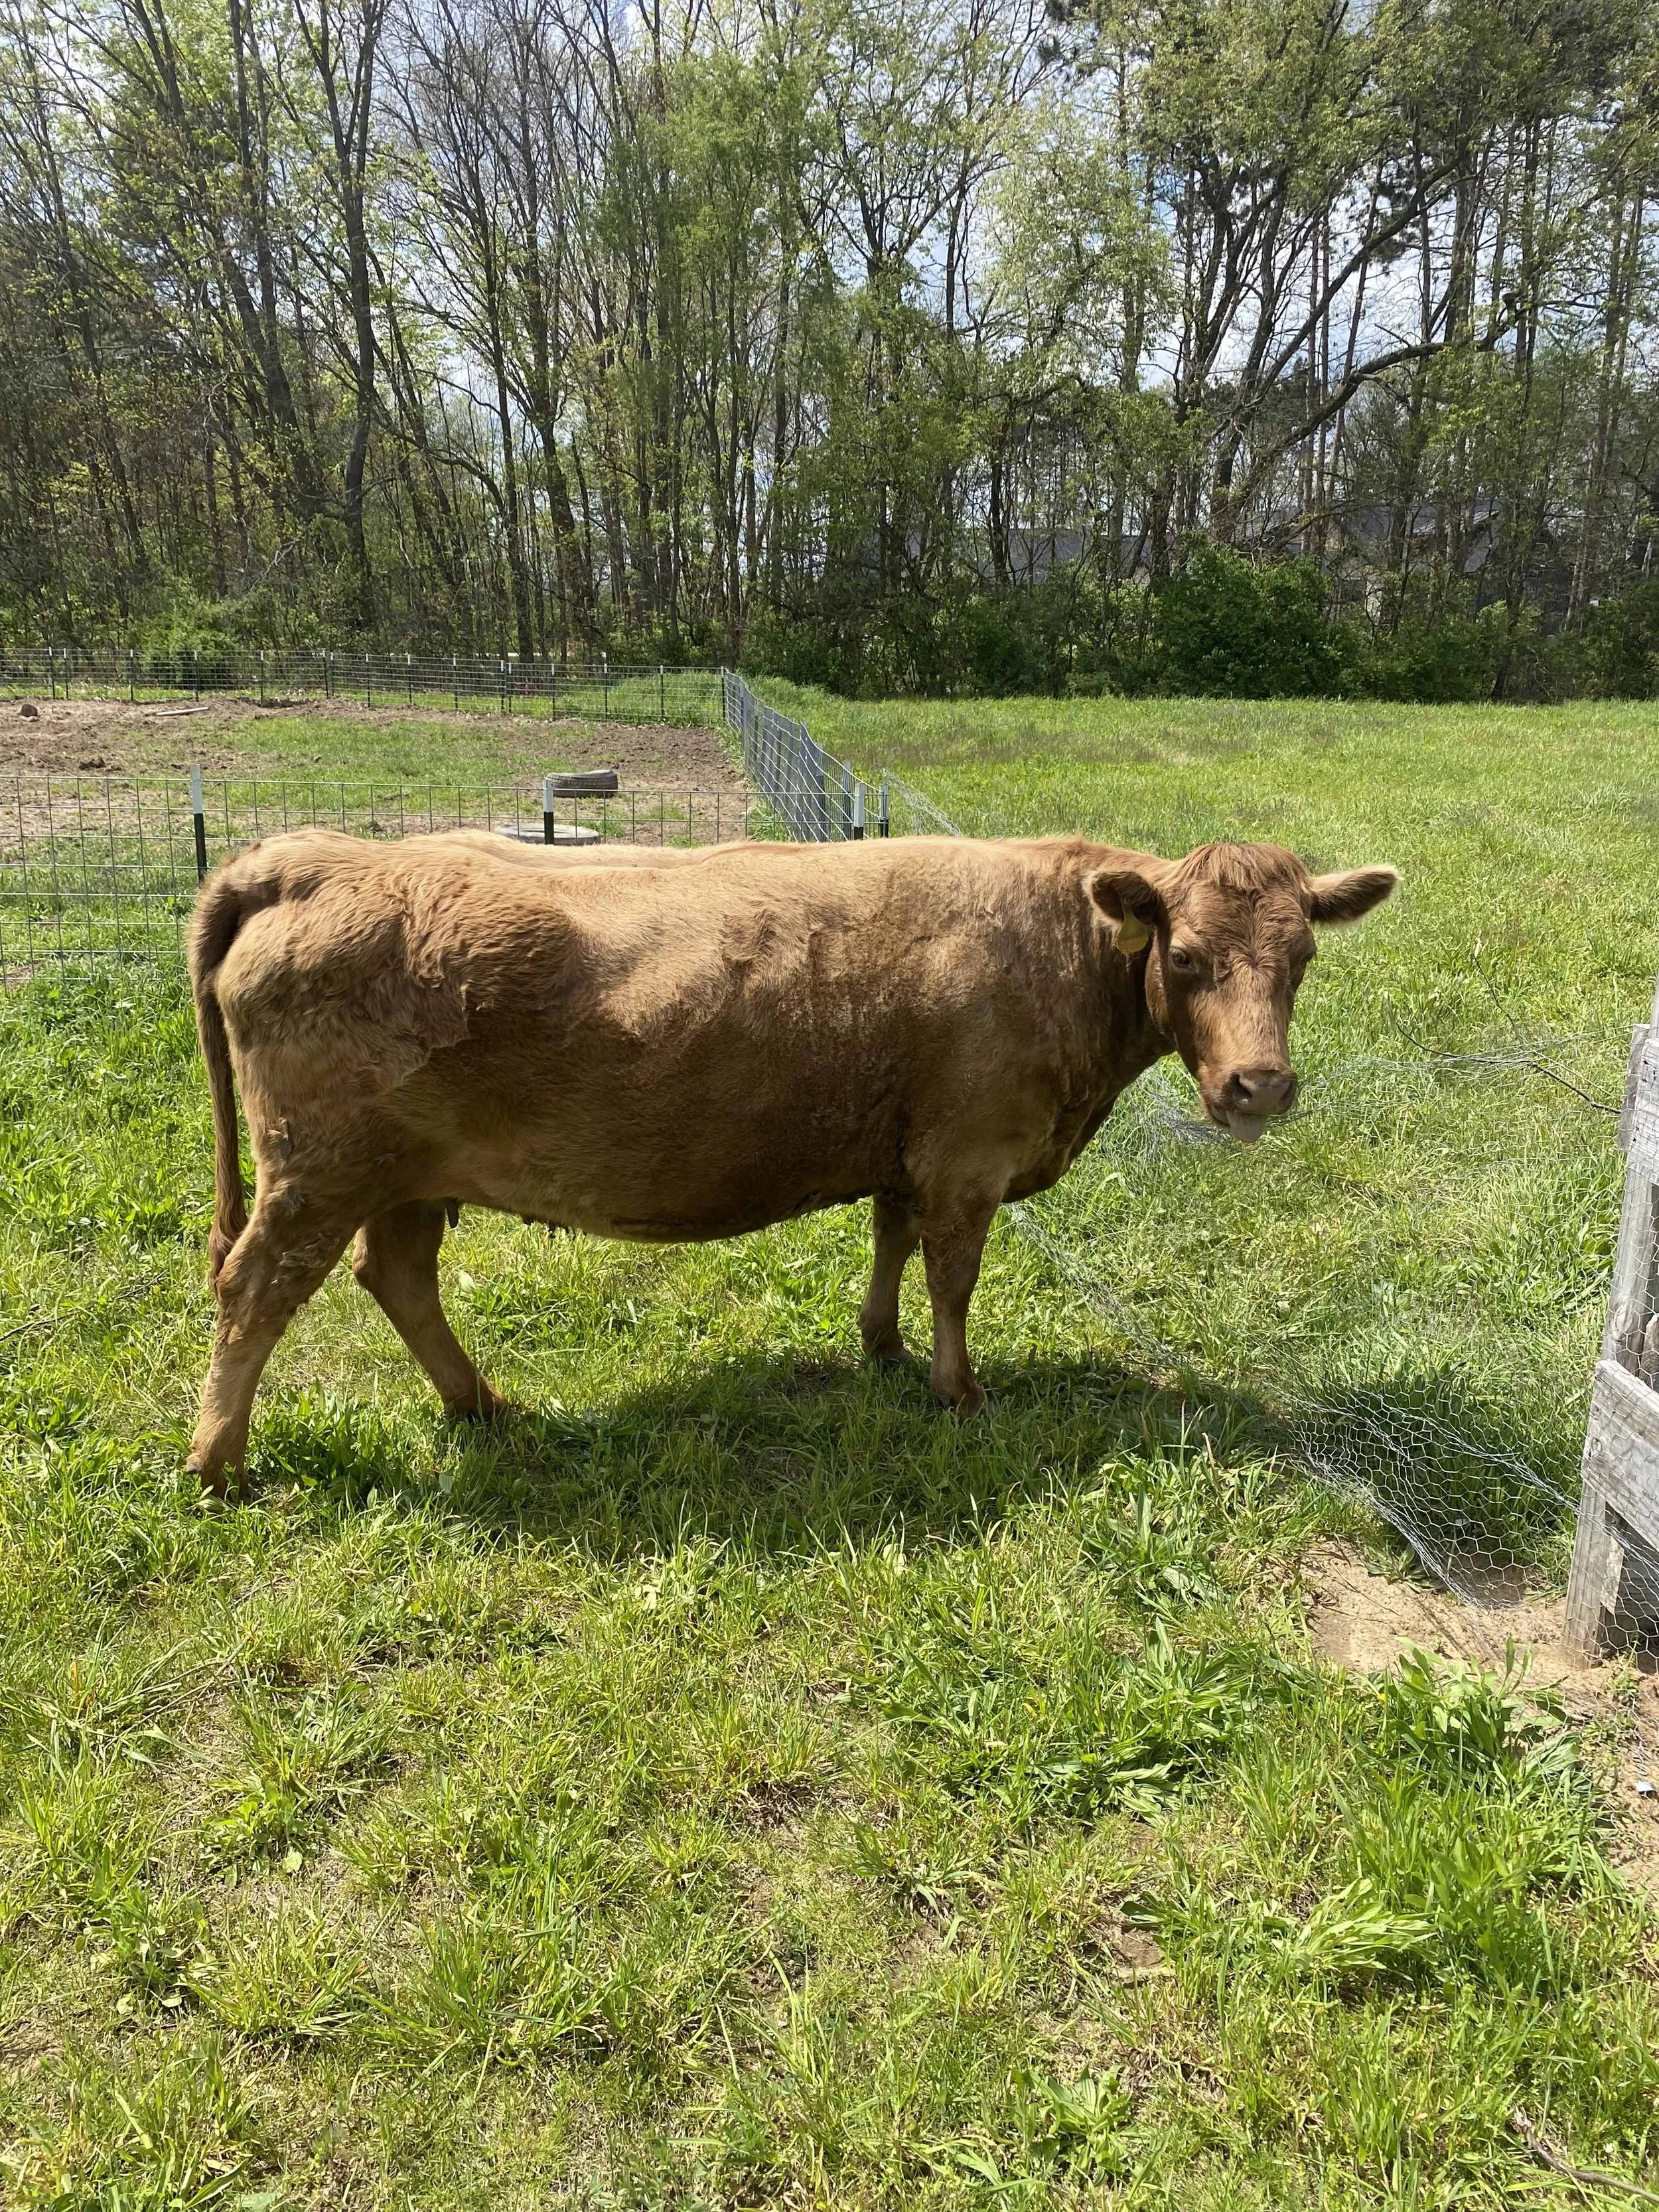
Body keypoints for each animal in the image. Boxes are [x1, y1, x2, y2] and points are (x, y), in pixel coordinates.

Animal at [184, 830, 1396, 1494]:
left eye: (1303, 955)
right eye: (1184, 956)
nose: (1260, 1087)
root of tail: (308, 856)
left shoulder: (911, 1150)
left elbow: (893, 1245)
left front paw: (882, 1347)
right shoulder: (969, 1156)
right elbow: (954, 1277)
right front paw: (961, 1391)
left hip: (405, 1172)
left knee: (395, 1276)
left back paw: (479, 1402)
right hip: (319, 1170)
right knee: (256, 1290)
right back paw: (219, 1460)